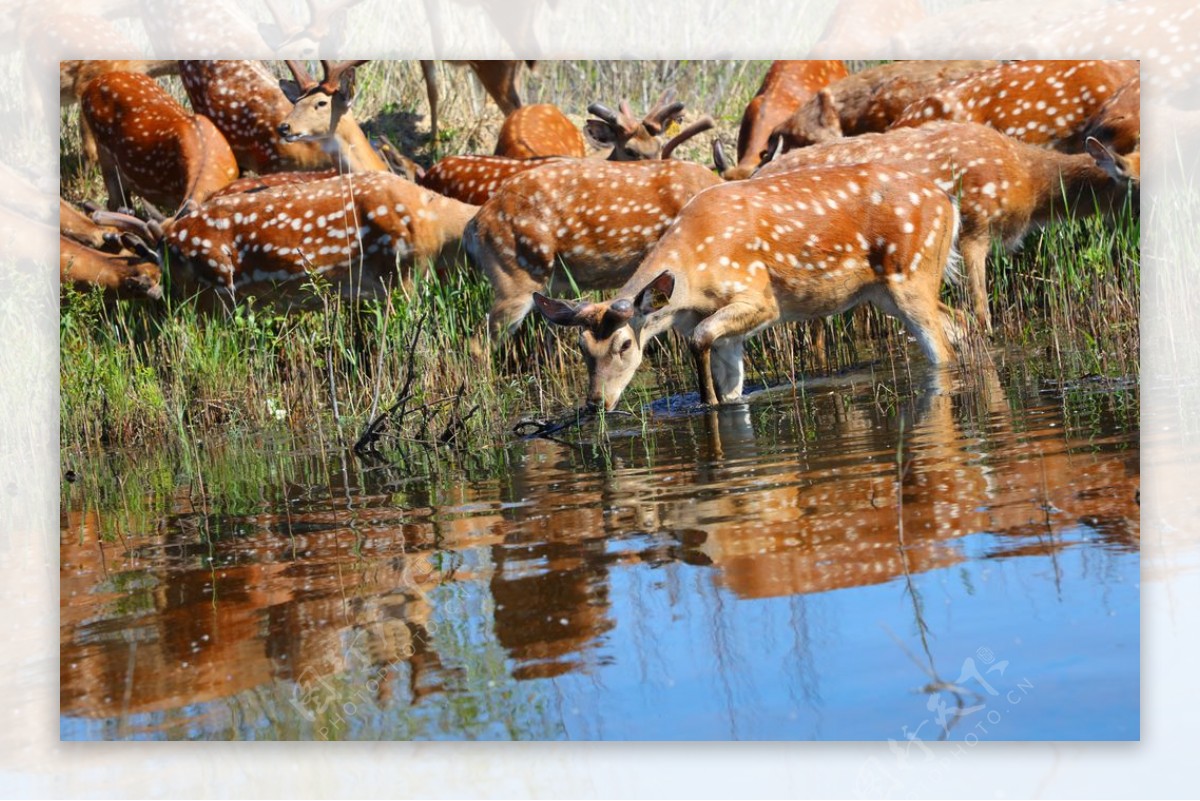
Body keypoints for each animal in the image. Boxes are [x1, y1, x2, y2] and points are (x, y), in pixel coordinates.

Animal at [535, 165, 964, 410]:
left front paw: (706, 402)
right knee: (958, 320)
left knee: (942, 344)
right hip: (886, 291)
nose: (595, 403)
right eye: (582, 347)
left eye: (624, 345)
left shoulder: (759, 297)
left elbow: (701, 339)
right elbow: (729, 382)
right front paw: (718, 399)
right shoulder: (721, 331)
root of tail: (949, 203)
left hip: (911, 273)